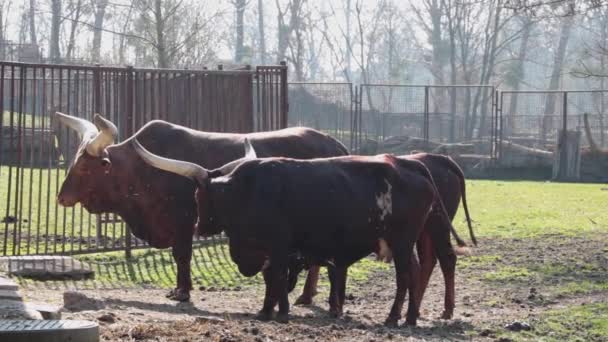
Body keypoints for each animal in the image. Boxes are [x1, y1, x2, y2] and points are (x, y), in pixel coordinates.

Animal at [54, 111, 350, 300]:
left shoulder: (185, 221)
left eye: (84, 167)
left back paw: (306, 296)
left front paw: (183, 292)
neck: (138, 170)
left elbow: (182, 256)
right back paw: (307, 296)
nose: (61, 197)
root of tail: (335, 144)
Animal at [131, 140, 456, 328]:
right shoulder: (268, 250)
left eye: (200, 197)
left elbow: (276, 277)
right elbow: (270, 281)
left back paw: (394, 318)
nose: (201, 227)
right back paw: (409, 317)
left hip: (402, 241)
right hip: (405, 242)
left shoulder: (278, 246)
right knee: (416, 270)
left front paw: (282, 312)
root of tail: (411, 164)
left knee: (406, 275)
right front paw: (265, 311)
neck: (245, 192)